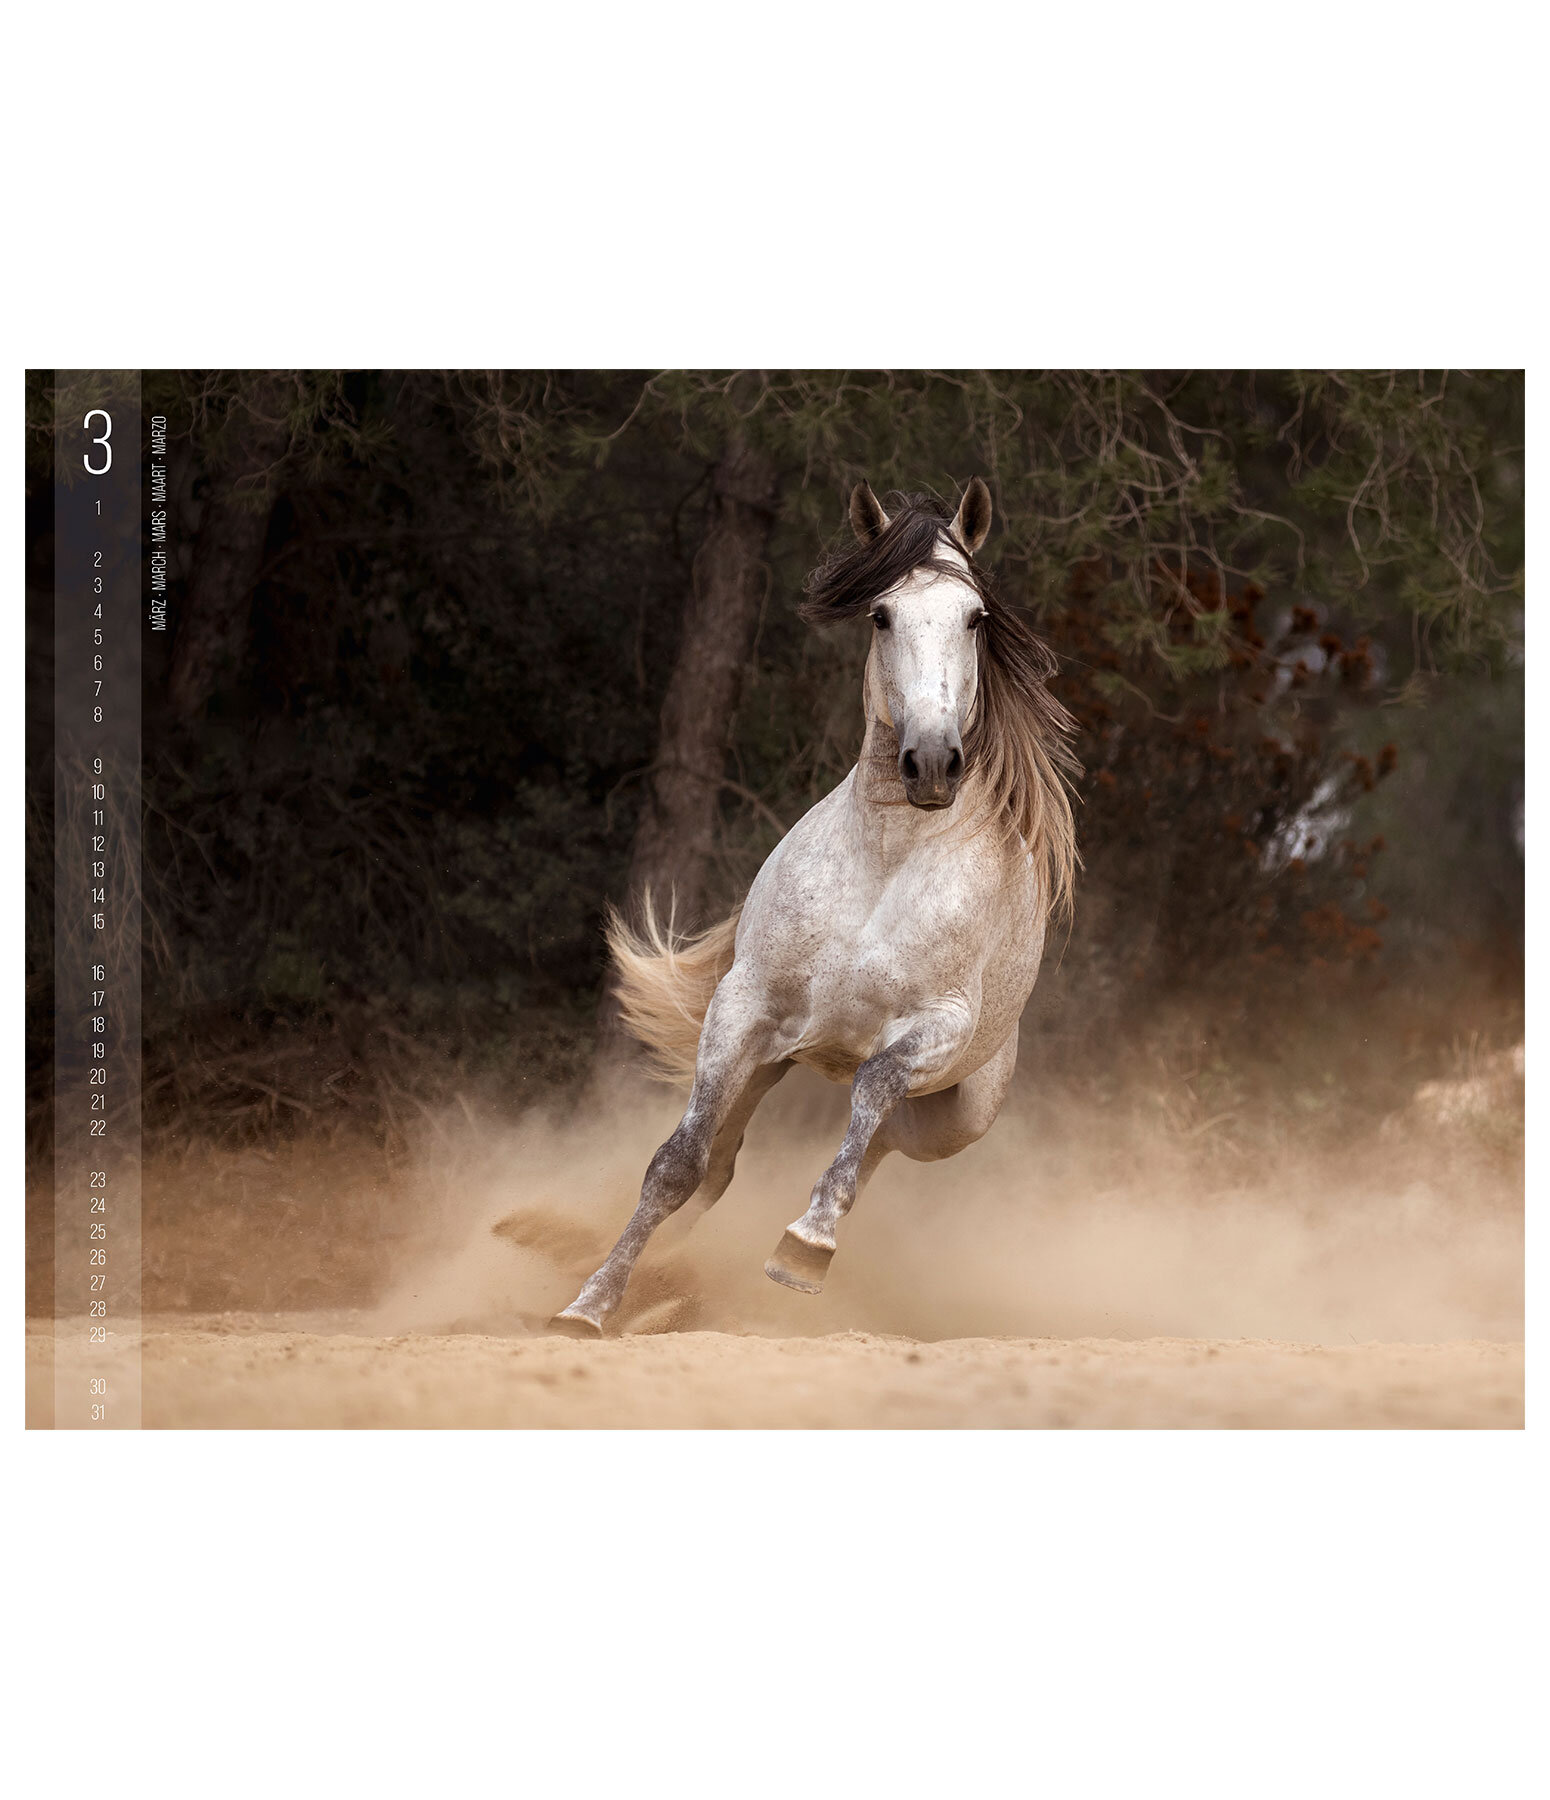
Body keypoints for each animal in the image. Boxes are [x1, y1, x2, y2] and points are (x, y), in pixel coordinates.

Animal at [551, 478, 1079, 1336]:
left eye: (975, 617)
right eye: (881, 614)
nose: (932, 763)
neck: (886, 861)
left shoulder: (936, 1026)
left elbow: (871, 1086)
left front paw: (804, 1246)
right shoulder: (743, 1008)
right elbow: (676, 1165)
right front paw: (589, 1305)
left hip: (951, 1116)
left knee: (878, 1137)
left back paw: (805, 1235)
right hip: (770, 1059)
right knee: (720, 1164)